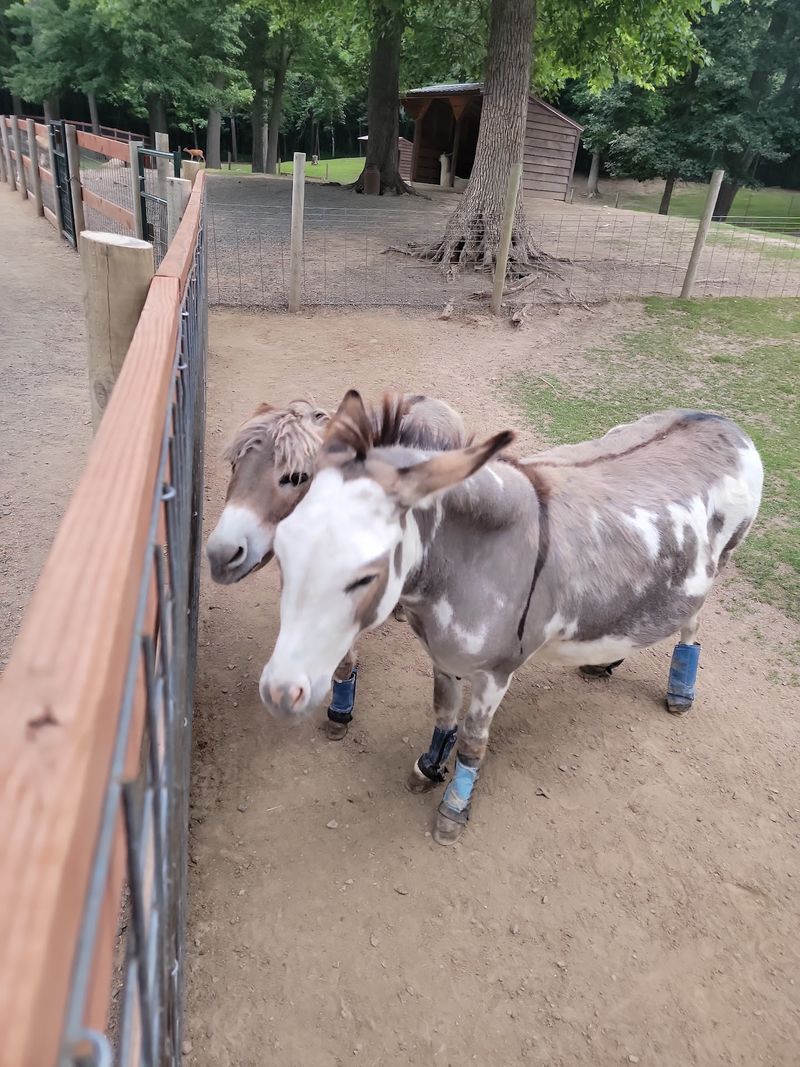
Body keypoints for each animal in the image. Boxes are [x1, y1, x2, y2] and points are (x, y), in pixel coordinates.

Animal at [259, 391, 763, 844]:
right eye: (283, 550)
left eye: (367, 576)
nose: (280, 693)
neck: (474, 557)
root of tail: (721, 421)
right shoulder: (443, 656)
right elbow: (444, 714)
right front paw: (428, 766)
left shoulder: (496, 673)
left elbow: (473, 741)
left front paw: (453, 810)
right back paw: (605, 661)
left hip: (721, 562)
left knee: (691, 622)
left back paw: (681, 690)